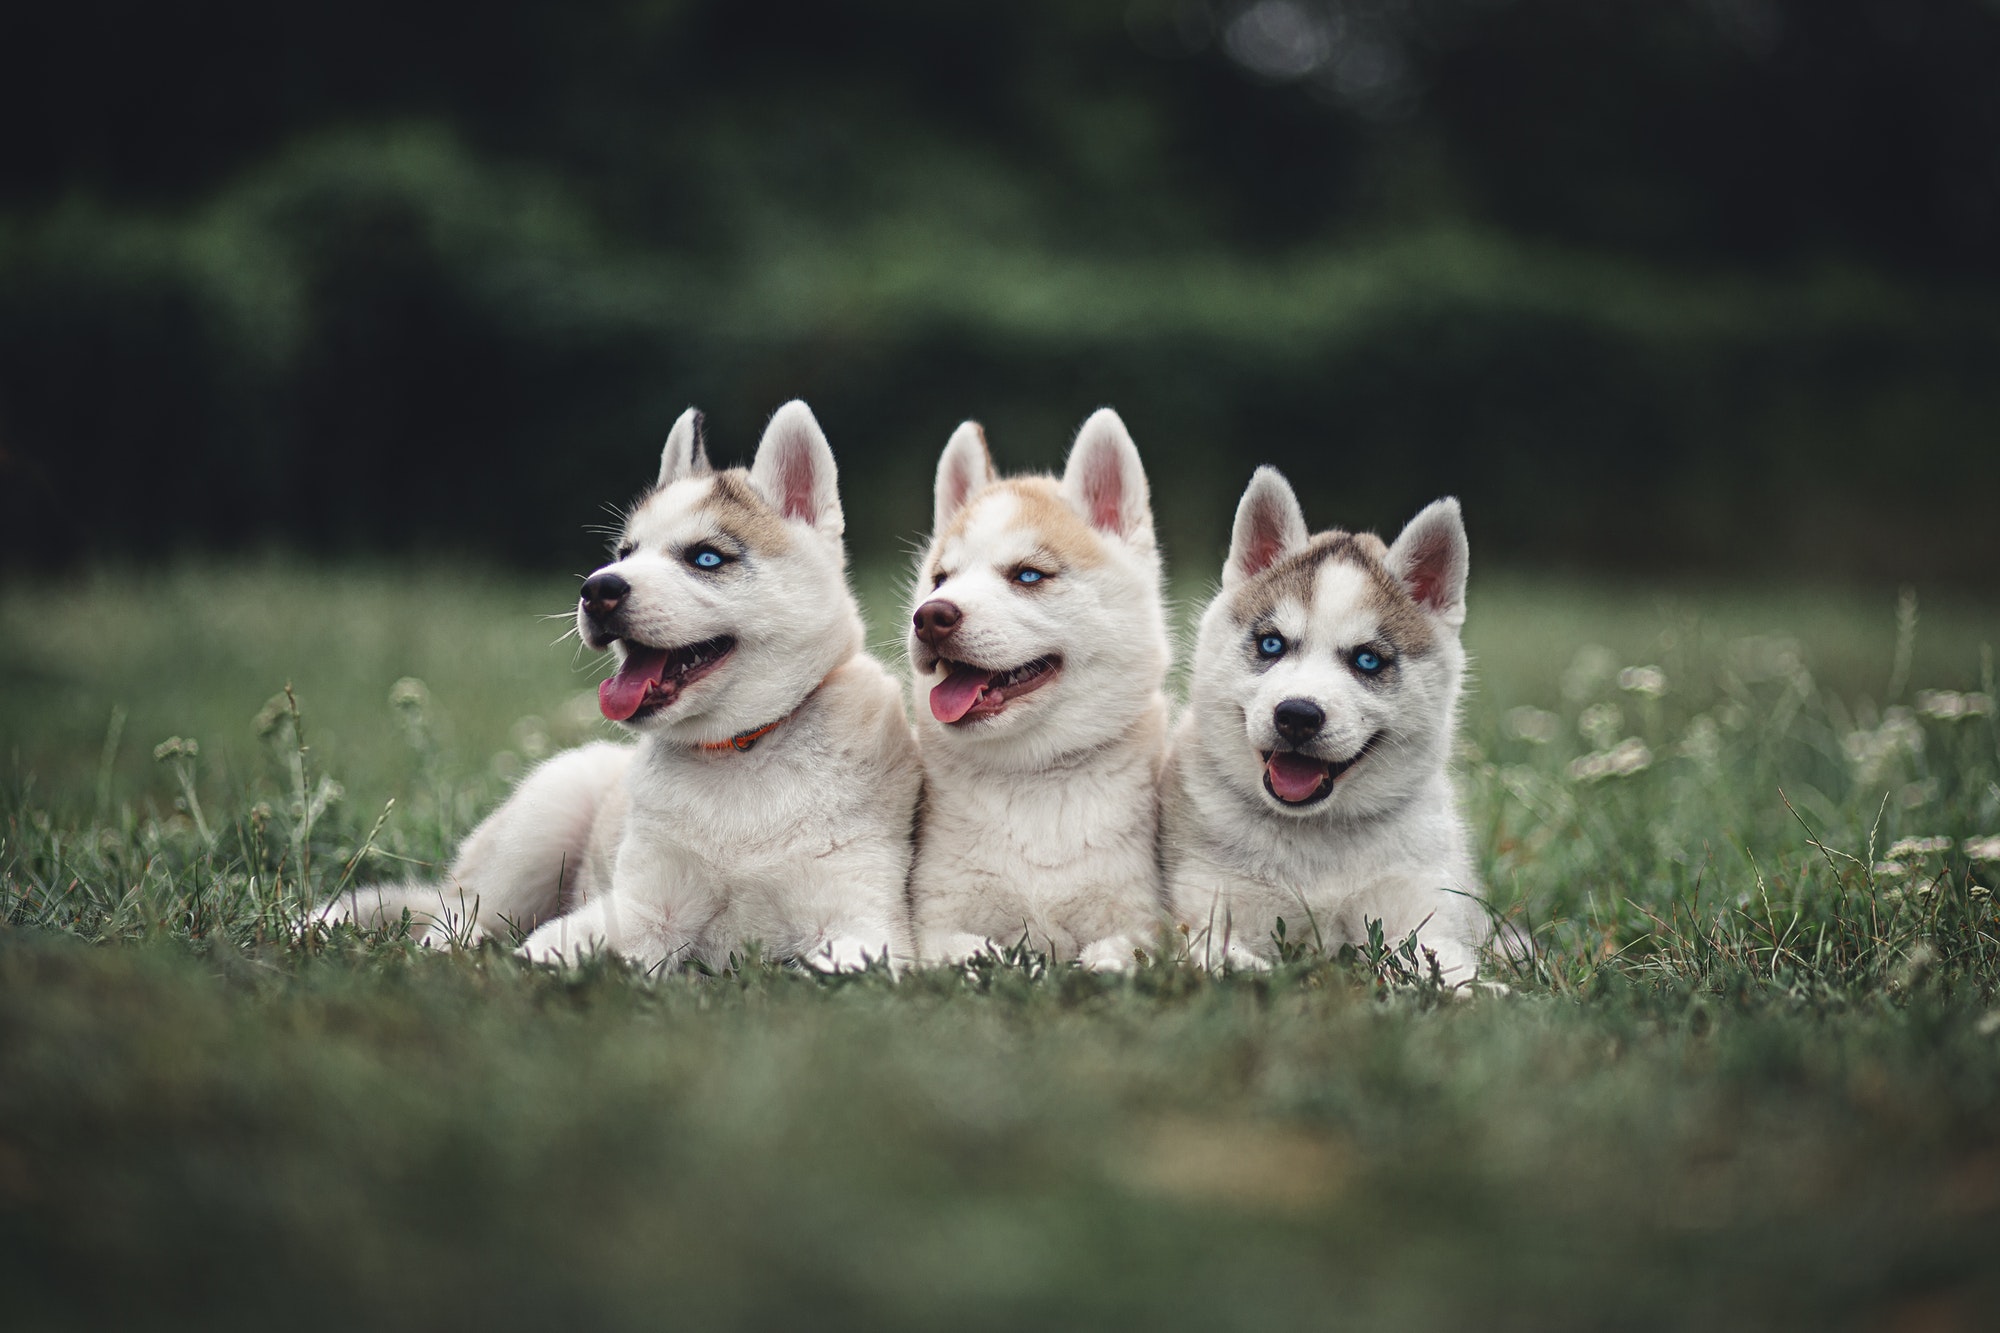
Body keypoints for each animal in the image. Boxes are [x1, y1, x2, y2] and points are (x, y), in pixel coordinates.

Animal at [320, 400, 920, 972]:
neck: (742, 754)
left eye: (706, 557)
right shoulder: (641, 906)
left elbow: (852, 962)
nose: (596, 590)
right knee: (452, 920)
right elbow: (542, 952)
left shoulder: (859, 917)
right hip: (539, 826)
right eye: (625, 553)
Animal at [908, 408, 1168, 964]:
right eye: (941, 579)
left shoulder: (1140, 920)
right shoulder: (935, 921)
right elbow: (970, 950)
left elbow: (1111, 956)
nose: (930, 617)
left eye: (1028, 575)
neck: (1035, 781)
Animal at [1160, 464, 1488, 976]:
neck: (1316, 837)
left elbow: (1446, 965)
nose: (1297, 715)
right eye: (1271, 644)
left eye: (1368, 660)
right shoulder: (1211, 910)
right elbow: (1227, 958)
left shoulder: (1420, 908)